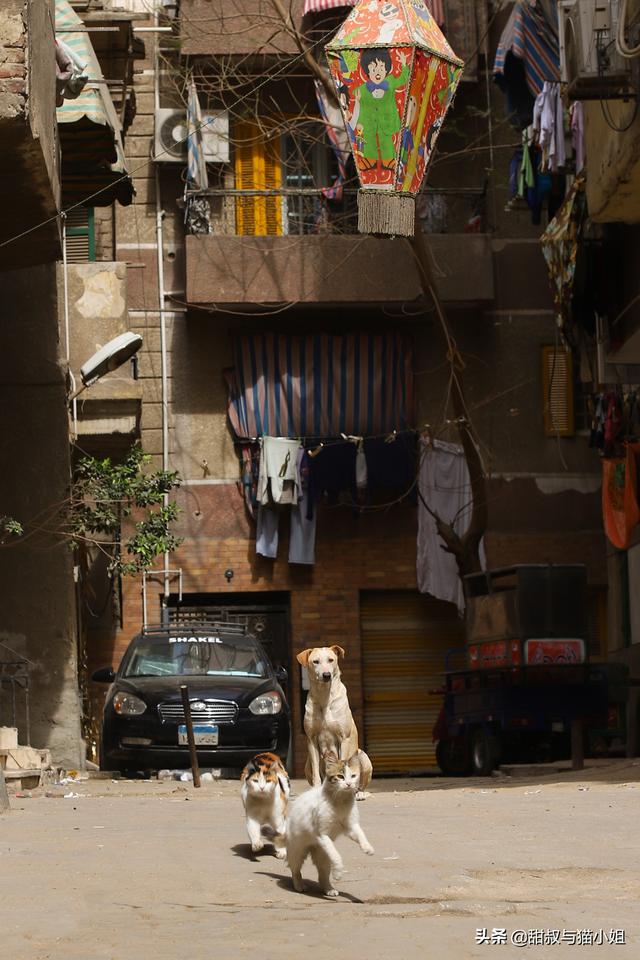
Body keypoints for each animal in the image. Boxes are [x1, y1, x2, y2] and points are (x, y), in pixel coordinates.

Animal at [286, 752, 376, 900]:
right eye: (340, 776)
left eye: (353, 776)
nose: (349, 784)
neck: (341, 800)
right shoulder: (322, 834)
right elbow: (336, 855)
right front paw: (338, 873)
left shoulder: (351, 826)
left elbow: (360, 834)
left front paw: (367, 847)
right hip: (297, 850)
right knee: (295, 868)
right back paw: (299, 885)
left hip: (323, 857)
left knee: (322, 875)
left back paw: (328, 889)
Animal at [296, 648, 372, 800]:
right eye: (315, 661)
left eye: (331, 660)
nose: (326, 675)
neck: (324, 696)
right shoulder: (311, 739)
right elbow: (316, 771)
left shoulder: (344, 738)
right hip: (306, 764)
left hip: (363, 757)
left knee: (361, 784)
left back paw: (359, 793)